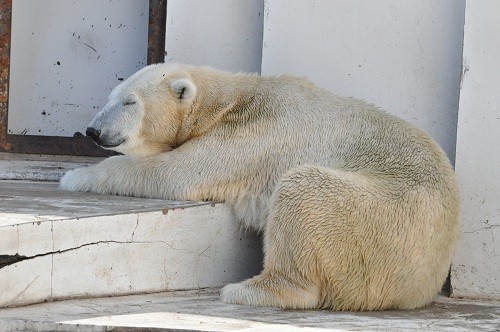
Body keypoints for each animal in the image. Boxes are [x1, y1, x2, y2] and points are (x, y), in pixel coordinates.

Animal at [60, 63, 458, 312]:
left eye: (129, 101)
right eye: (111, 95)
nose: (93, 130)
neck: (232, 100)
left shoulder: (255, 135)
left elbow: (177, 172)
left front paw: (74, 176)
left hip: (377, 218)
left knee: (304, 190)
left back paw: (247, 290)